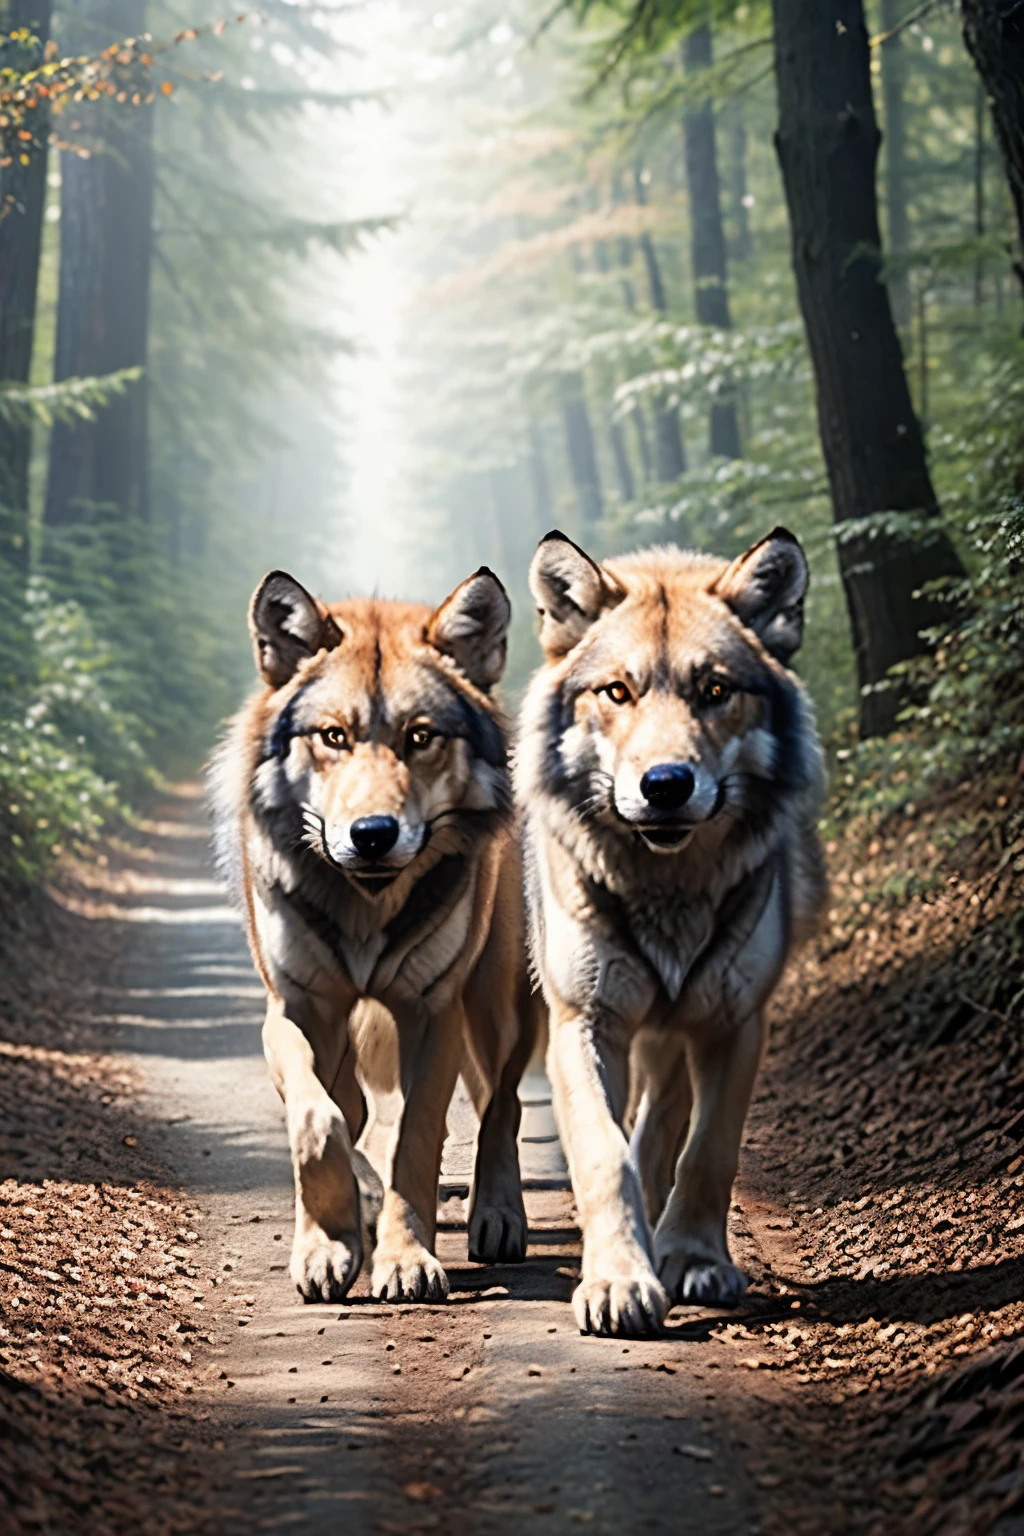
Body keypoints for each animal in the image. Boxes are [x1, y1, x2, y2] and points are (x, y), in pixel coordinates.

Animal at [209, 566, 534, 1305]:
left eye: (421, 737)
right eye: (333, 737)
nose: (373, 834)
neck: (367, 906)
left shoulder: (433, 1013)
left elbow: (415, 1137)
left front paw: (406, 1260)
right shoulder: (296, 1009)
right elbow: (319, 1121)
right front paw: (330, 1245)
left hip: (496, 1005)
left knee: (501, 1105)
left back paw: (498, 1218)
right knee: (356, 1108)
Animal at [516, 527, 827, 1337]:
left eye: (714, 690)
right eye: (616, 691)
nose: (664, 786)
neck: (669, 890)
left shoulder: (734, 1024)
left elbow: (707, 1152)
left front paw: (692, 1259)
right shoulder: (582, 1023)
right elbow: (604, 1154)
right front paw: (618, 1281)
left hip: (679, 1024)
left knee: (663, 1124)